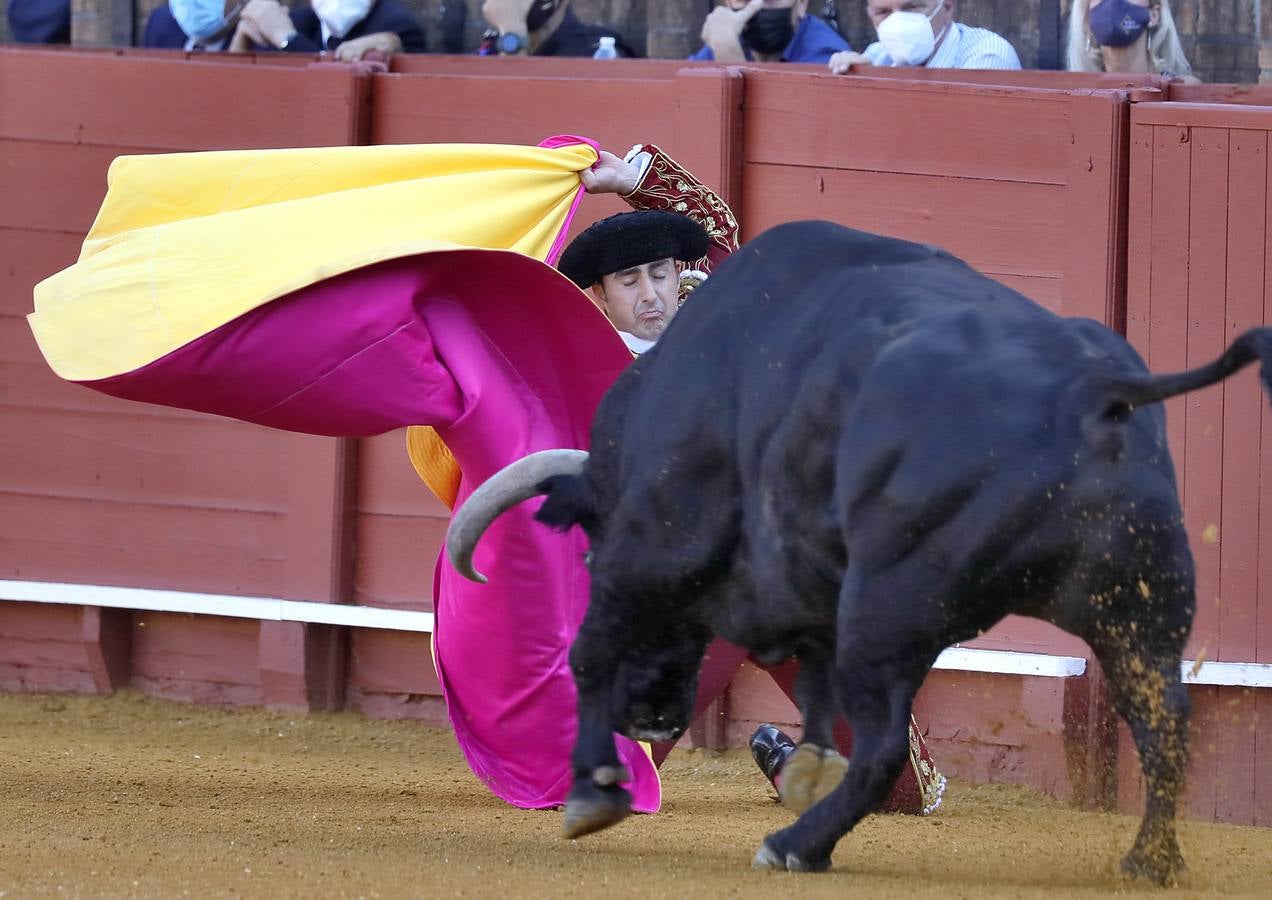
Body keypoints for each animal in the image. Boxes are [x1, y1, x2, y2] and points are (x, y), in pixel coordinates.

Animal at [445, 221, 1272, 884]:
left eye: (586, 556)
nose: (652, 716)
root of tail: (1092, 388)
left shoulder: (654, 549)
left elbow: (589, 652)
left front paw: (593, 791)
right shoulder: (802, 587)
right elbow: (813, 682)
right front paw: (801, 759)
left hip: (889, 610)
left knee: (882, 749)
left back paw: (794, 844)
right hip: (1138, 607)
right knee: (1165, 723)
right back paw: (1149, 862)